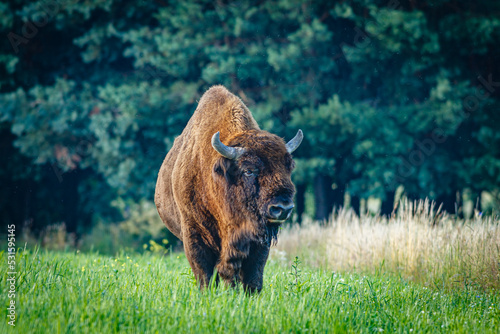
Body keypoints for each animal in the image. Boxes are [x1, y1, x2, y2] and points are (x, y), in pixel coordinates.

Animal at [154, 86, 302, 292]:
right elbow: (205, 274)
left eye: (288, 167)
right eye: (249, 170)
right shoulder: (193, 233)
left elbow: (253, 274)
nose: (283, 208)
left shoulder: (258, 240)